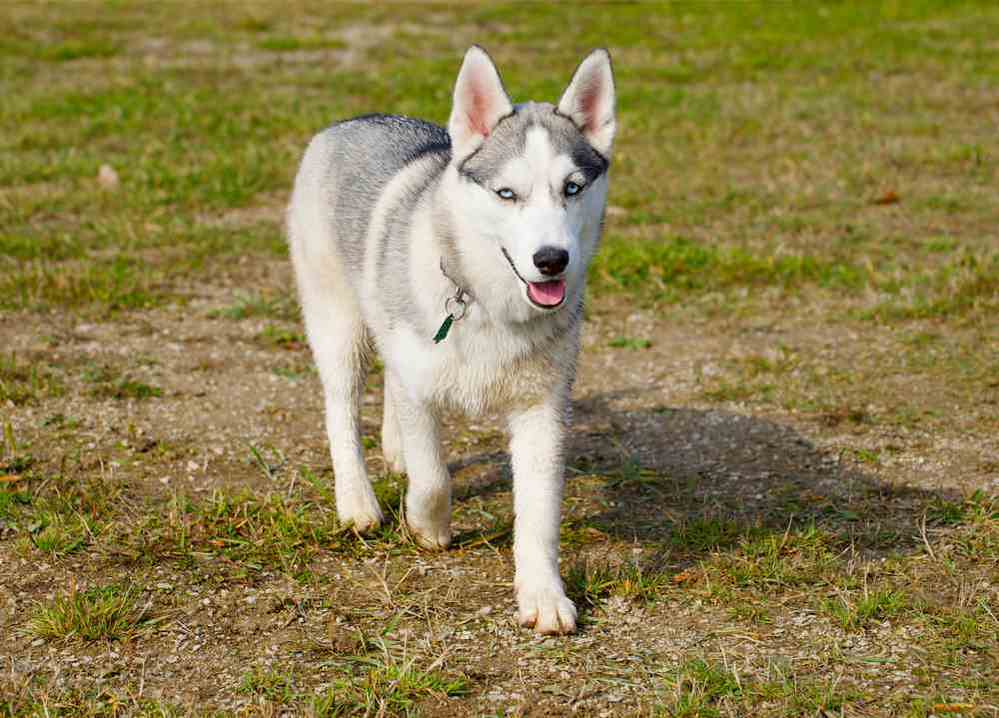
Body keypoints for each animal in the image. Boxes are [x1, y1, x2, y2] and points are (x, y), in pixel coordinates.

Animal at [286, 46, 616, 636]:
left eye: (572, 188)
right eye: (507, 193)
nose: (551, 259)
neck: (489, 305)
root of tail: (353, 120)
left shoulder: (543, 409)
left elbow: (540, 514)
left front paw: (543, 595)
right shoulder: (421, 392)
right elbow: (434, 477)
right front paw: (427, 525)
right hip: (338, 324)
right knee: (341, 407)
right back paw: (358, 502)